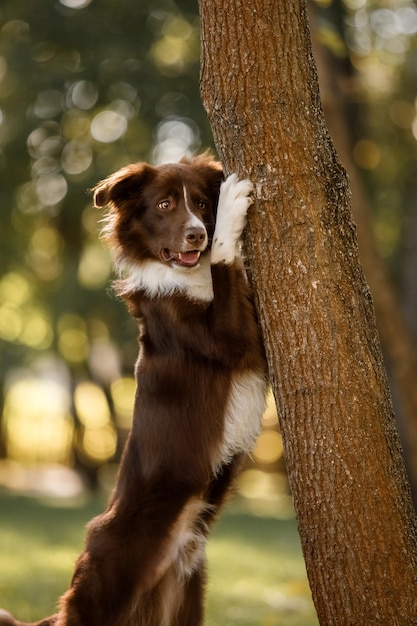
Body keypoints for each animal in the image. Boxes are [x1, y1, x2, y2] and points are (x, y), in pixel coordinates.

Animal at [0, 152, 266, 624]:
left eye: (201, 203)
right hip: (102, 589)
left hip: (186, 597)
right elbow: (224, 262)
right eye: (164, 205)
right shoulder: (233, 339)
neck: (184, 275)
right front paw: (233, 210)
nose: (197, 233)